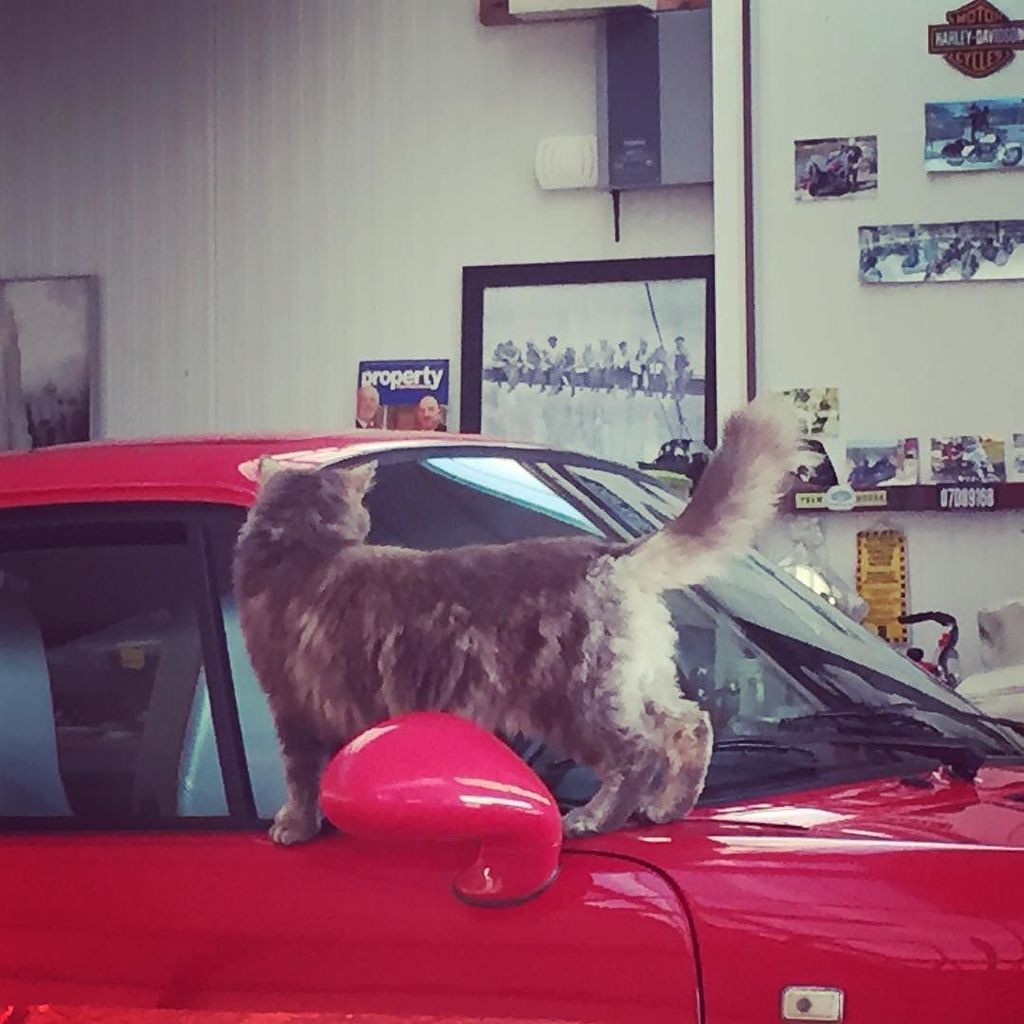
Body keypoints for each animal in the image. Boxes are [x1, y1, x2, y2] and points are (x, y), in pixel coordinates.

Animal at [235, 395, 794, 843]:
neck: (302, 545)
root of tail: (611, 553)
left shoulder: (291, 702)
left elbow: (303, 776)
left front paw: (294, 827)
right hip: (638, 683)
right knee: (692, 726)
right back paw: (667, 808)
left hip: (573, 700)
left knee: (637, 754)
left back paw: (592, 819)